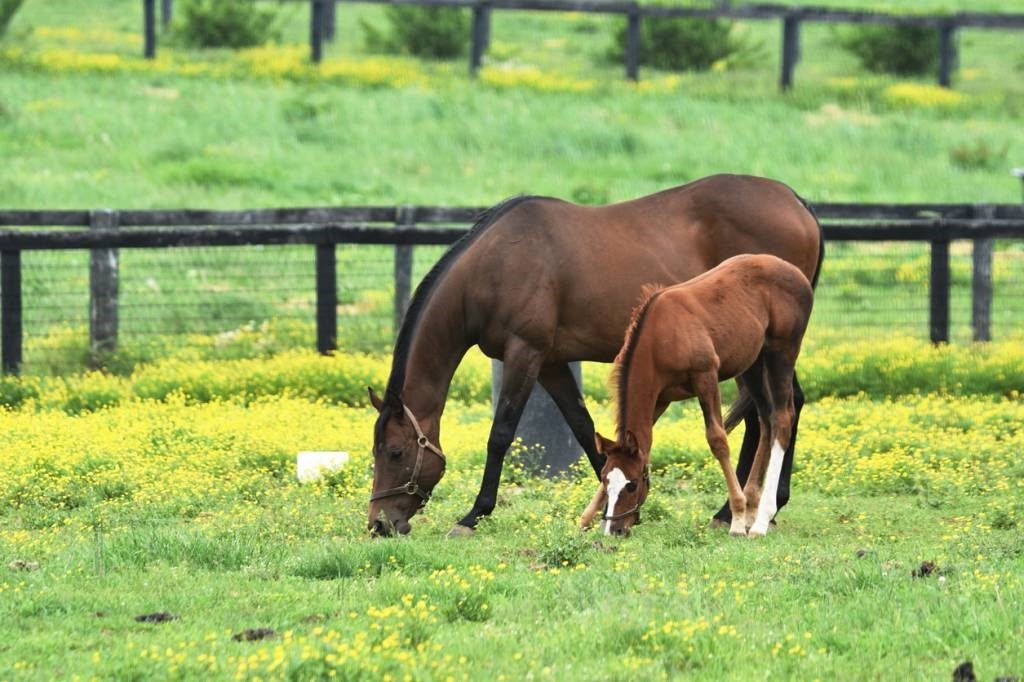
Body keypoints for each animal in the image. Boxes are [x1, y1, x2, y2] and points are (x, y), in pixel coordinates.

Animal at [578, 254, 815, 537]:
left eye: (632, 484)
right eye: (605, 479)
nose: (614, 529)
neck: (661, 336)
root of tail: (795, 272)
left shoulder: (706, 377)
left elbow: (718, 440)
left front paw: (736, 519)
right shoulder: (661, 398)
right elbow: (643, 440)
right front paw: (585, 518)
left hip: (782, 352)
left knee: (782, 418)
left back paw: (759, 521)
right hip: (753, 364)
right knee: (766, 420)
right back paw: (752, 509)